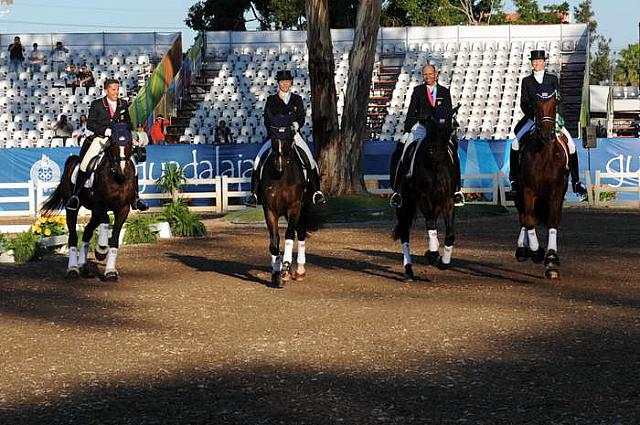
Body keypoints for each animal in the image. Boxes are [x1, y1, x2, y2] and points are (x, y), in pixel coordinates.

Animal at [40, 129, 137, 282]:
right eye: (114, 143)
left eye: (130, 143)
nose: (122, 173)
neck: (115, 177)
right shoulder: (99, 205)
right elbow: (106, 221)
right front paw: (101, 249)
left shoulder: (123, 208)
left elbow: (115, 238)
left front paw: (110, 271)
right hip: (72, 208)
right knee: (73, 236)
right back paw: (73, 269)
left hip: (94, 213)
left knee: (86, 232)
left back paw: (83, 266)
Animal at [260, 124, 310, 286]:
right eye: (273, 138)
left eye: (289, 138)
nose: (280, 165)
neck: (282, 178)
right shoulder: (269, 210)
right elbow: (274, 241)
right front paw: (277, 272)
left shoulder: (294, 207)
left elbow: (289, 235)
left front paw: (286, 266)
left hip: (303, 209)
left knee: (300, 233)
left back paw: (299, 271)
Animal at [392, 117, 458, 282]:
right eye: (429, 150)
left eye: (449, 128)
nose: (439, 181)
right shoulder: (423, 198)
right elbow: (430, 224)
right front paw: (432, 255)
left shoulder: (447, 201)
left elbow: (450, 234)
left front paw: (443, 262)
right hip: (405, 205)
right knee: (405, 233)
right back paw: (409, 271)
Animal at [516, 86, 568, 278]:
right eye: (535, 107)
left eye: (555, 106)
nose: (547, 135)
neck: (545, 154)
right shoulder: (528, 190)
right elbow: (529, 220)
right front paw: (536, 252)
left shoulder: (557, 190)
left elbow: (552, 221)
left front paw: (551, 260)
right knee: (524, 217)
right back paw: (523, 250)